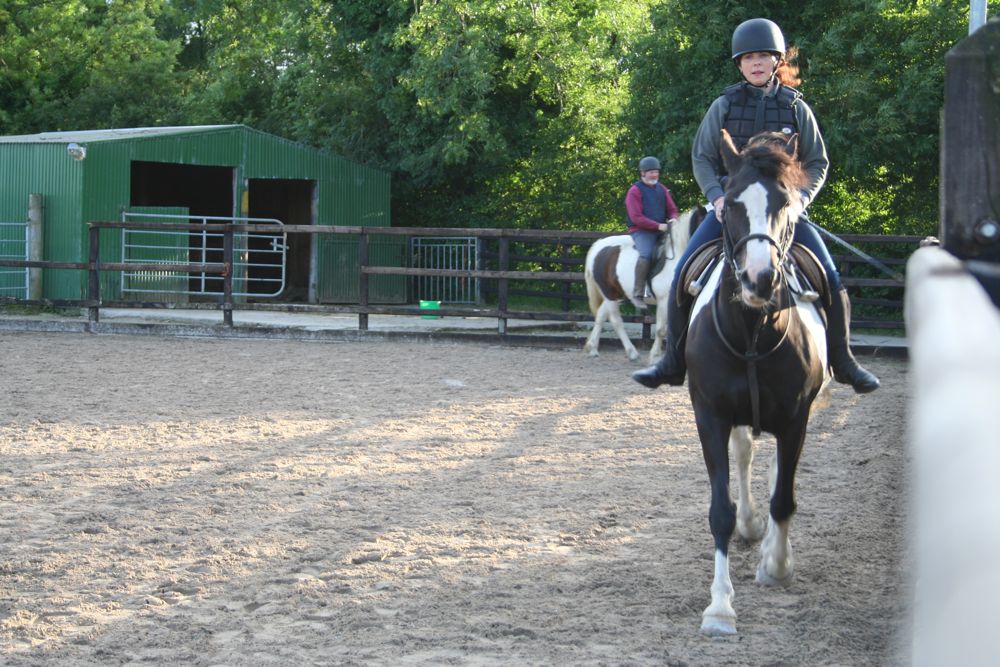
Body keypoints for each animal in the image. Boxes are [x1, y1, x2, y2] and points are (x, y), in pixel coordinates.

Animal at [583, 206, 706, 362]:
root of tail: (598, 246)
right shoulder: (664, 300)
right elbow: (661, 330)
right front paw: (655, 357)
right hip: (610, 293)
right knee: (616, 321)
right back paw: (631, 352)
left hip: (616, 294)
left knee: (601, 315)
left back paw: (592, 348)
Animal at [685, 129, 831, 636]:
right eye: (730, 202)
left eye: (784, 202)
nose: (759, 278)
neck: (751, 330)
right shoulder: (710, 415)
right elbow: (720, 511)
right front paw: (719, 608)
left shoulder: (796, 418)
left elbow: (784, 498)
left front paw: (776, 567)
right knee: (746, 454)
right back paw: (752, 524)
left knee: (775, 476)